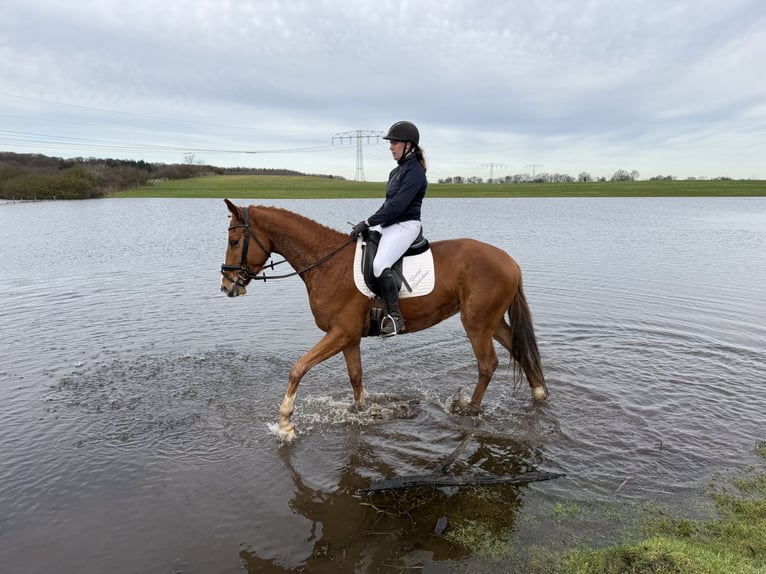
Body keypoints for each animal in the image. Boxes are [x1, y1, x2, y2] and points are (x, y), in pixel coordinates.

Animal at [219, 199, 548, 440]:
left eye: (234, 241)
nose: (226, 285)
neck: (327, 263)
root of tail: (510, 261)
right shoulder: (349, 337)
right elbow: (356, 377)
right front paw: (361, 412)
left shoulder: (340, 333)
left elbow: (298, 368)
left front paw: (285, 422)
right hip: (492, 322)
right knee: (518, 349)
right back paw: (539, 394)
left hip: (477, 324)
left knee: (487, 364)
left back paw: (468, 409)